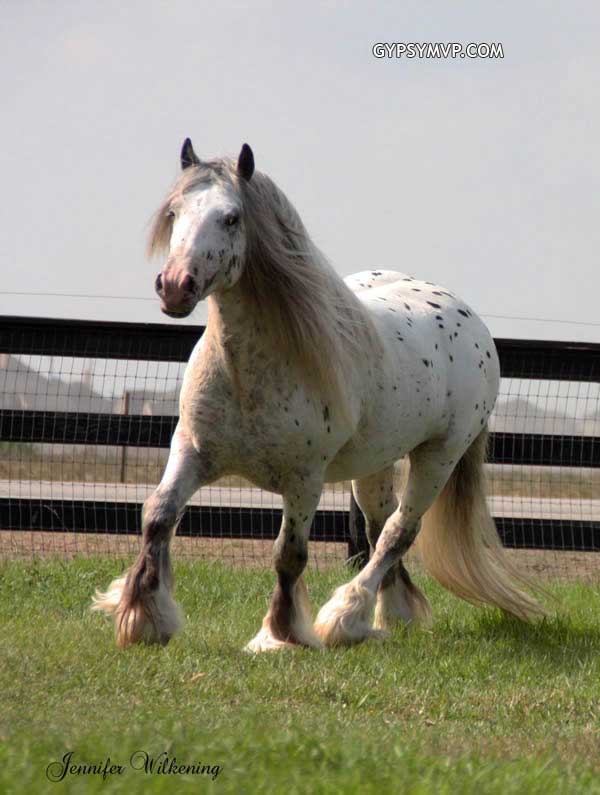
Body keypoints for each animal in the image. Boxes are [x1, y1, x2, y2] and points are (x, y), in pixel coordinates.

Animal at [93, 139, 546, 651]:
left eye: (231, 218)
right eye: (174, 212)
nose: (174, 286)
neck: (248, 372)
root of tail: (470, 319)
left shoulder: (304, 478)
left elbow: (289, 554)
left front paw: (280, 635)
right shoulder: (192, 451)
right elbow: (158, 515)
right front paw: (144, 617)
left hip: (438, 457)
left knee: (398, 532)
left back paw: (346, 617)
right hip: (375, 464)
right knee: (378, 527)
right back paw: (391, 616)